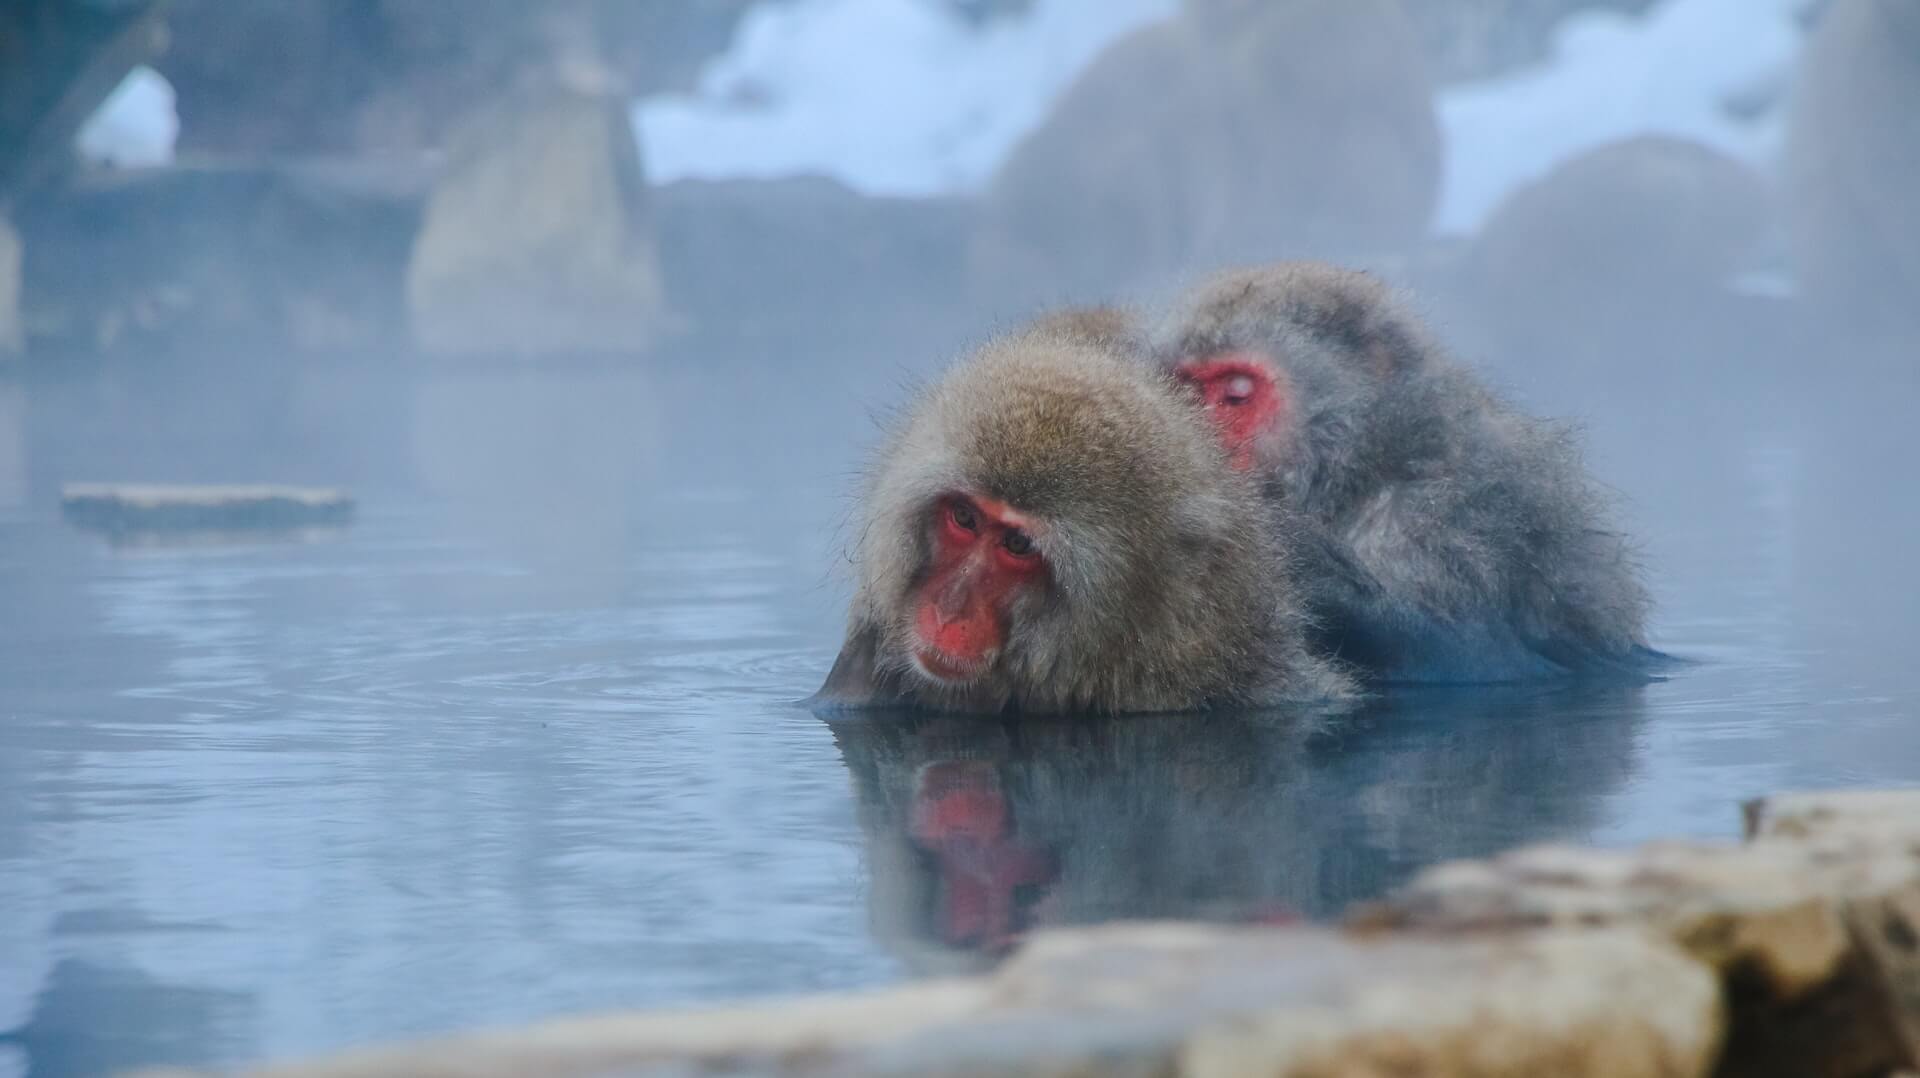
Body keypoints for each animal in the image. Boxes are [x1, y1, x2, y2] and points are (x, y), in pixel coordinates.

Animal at [1152, 261, 1666, 680]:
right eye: (1188, 390)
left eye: (1236, 394)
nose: (1200, 441)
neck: (1366, 468)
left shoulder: (1453, 517)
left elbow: (1476, 658)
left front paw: (1306, 563)